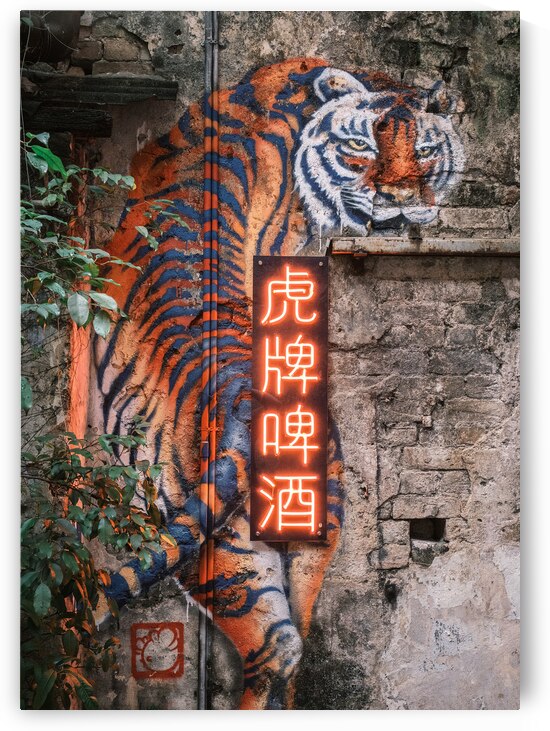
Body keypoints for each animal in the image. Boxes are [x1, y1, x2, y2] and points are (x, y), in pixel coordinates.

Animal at [89, 57, 464, 709]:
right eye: (360, 146)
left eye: (423, 148)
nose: (395, 203)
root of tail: (246, 393)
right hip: (290, 541)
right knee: (288, 646)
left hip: (236, 547)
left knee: (275, 648)